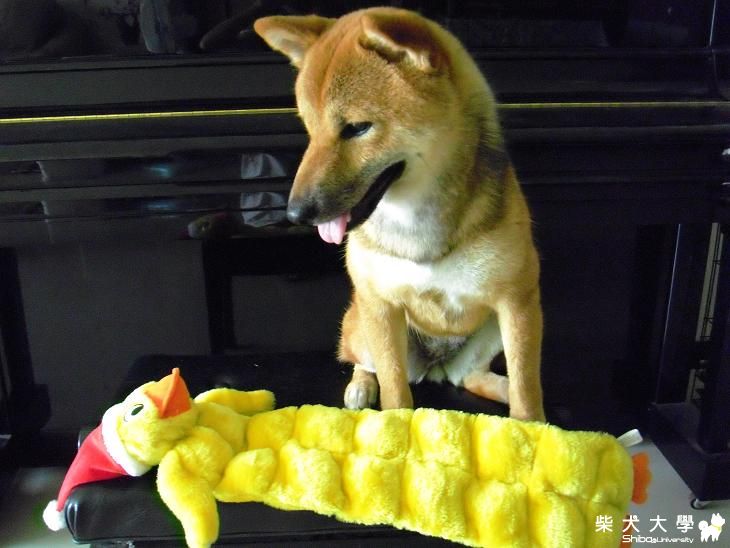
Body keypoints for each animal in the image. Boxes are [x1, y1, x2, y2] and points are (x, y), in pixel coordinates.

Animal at [255, 7, 545, 421]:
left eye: (357, 128)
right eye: (308, 127)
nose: (295, 213)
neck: (414, 221)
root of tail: (436, 367)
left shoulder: (517, 302)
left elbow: (526, 388)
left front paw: (532, 424)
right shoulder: (381, 304)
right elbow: (394, 387)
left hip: (490, 331)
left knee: (471, 376)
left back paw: (498, 388)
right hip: (363, 325)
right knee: (364, 363)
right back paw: (361, 387)